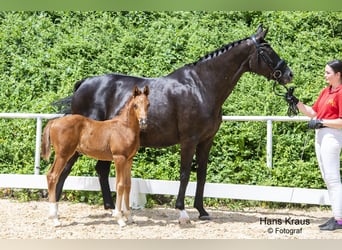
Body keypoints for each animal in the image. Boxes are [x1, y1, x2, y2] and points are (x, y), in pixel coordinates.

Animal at [54, 24, 294, 224]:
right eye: (267, 51)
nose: (289, 74)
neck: (201, 86)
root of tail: (84, 83)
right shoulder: (189, 140)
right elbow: (185, 173)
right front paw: (182, 211)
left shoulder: (206, 141)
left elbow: (202, 174)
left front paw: (202, 211)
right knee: (63, 170)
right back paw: (56, 210)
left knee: (101, 170)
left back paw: (113, 209)